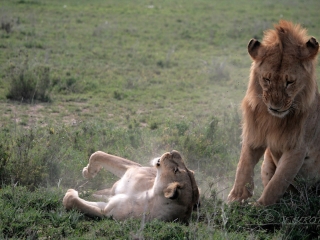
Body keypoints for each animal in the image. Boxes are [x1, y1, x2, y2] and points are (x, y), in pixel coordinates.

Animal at [62, 150, 199, 223]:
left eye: (176, 170)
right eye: (186, 168)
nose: (173, 152)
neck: (150, 194)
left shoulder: (108, 211)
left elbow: (71, 200)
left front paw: (71, 192)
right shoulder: (134, 168)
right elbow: (98, 154)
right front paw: (88, 172)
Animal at [228, 20, 320, 206]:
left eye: (290, 82)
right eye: (267, 79)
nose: (275, 107)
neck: (274, 119)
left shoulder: (297, 149)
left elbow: (277, 183)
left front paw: (259, 207)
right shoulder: (254, 135)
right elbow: (244, 165)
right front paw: (237, 198)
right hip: (267, 162)